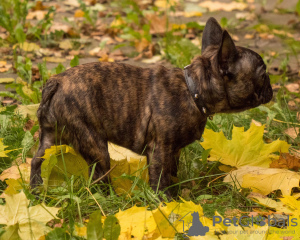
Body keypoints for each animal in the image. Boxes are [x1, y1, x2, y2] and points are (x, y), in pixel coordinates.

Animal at [29, 17, 272, 196]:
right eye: (263, 74)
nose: (271, 86)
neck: (192, 90)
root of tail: (56, 82)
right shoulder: (160, 149)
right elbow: (160, 177)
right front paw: (165, 201)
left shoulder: (173, 150)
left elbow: (172, 172)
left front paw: (177, 193)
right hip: (94, 143)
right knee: (99, 176)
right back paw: (111, 198)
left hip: (50, 137)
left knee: (36, 160)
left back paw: (35, 189)